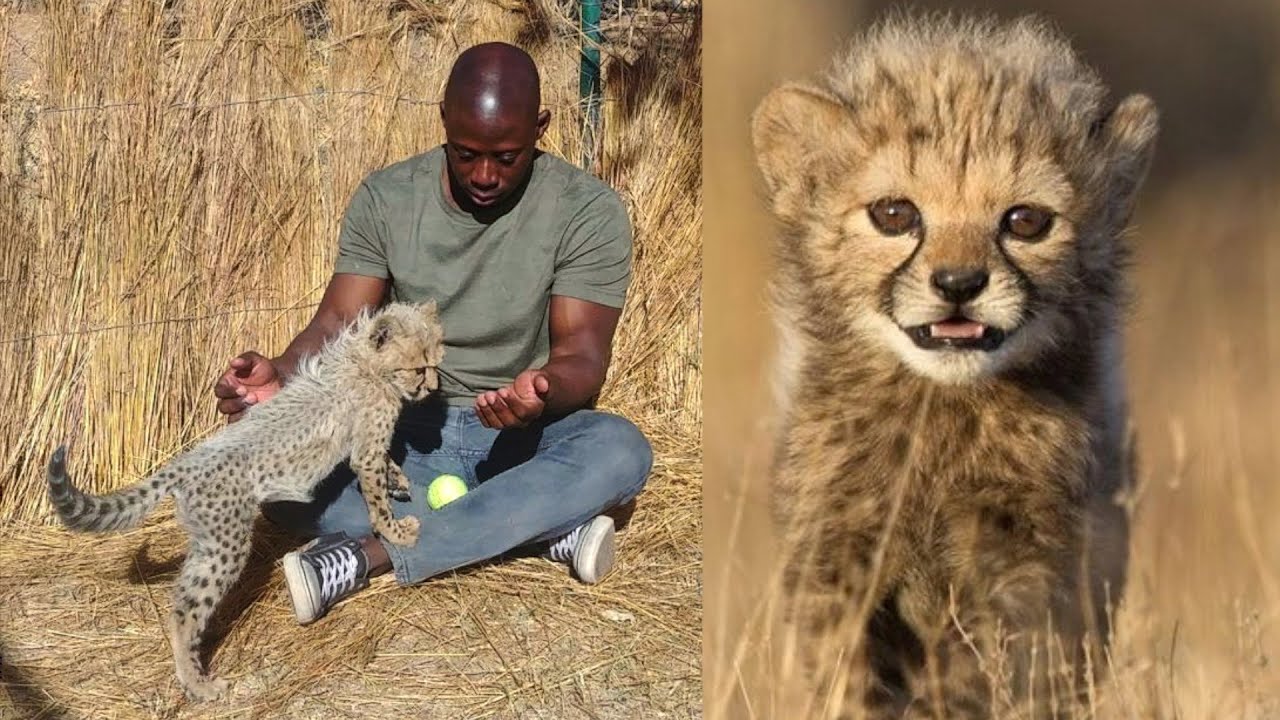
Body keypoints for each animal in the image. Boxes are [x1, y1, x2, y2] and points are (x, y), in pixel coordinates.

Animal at [46, 300, 445, 701]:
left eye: (432, 364)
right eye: (419, 367)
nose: (431, 388)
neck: (365, 362)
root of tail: (185, 463)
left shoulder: (364, 446)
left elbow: (384, 466)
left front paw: (399, 481)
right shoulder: (366, 448)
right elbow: (377, 500)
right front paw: (396, 532)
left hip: (208, 542)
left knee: (180, 605)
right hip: (225, 546)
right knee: (187, 613)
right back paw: (199, 684)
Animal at [751, 14, 1157, 719]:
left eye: (1026, 221)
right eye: (895, 214)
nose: (959, 284)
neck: (939, 410)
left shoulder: (1021, 568)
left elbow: (980, 668)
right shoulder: (839, 555)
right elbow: (847, 672)